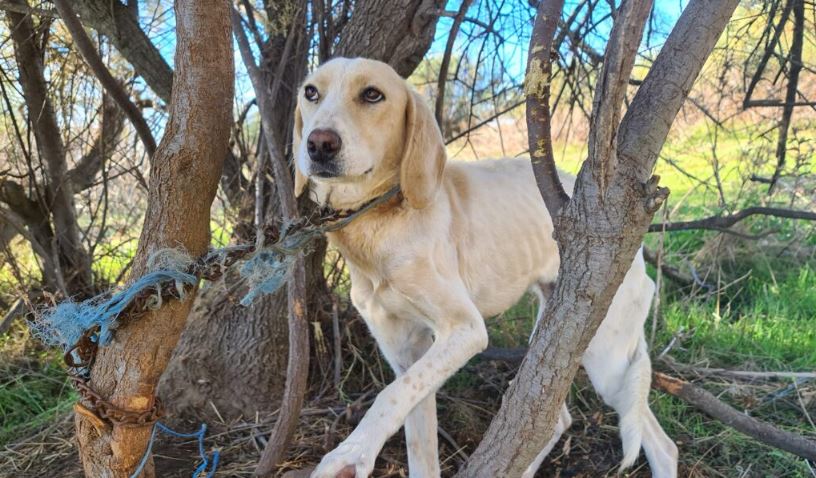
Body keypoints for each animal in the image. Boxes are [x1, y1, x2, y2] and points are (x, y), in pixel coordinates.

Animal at [292, 58, 676, 476]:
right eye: (311, 92)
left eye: (372, 94)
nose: (318, 143)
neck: (378, 224)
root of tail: (634, 251)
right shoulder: (407, 355)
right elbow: (413, 429)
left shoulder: (466, 329)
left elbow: (388, 397)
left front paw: (350, 454)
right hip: (556, 337)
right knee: (558, 421)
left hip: (605, 357)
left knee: (663, 444)